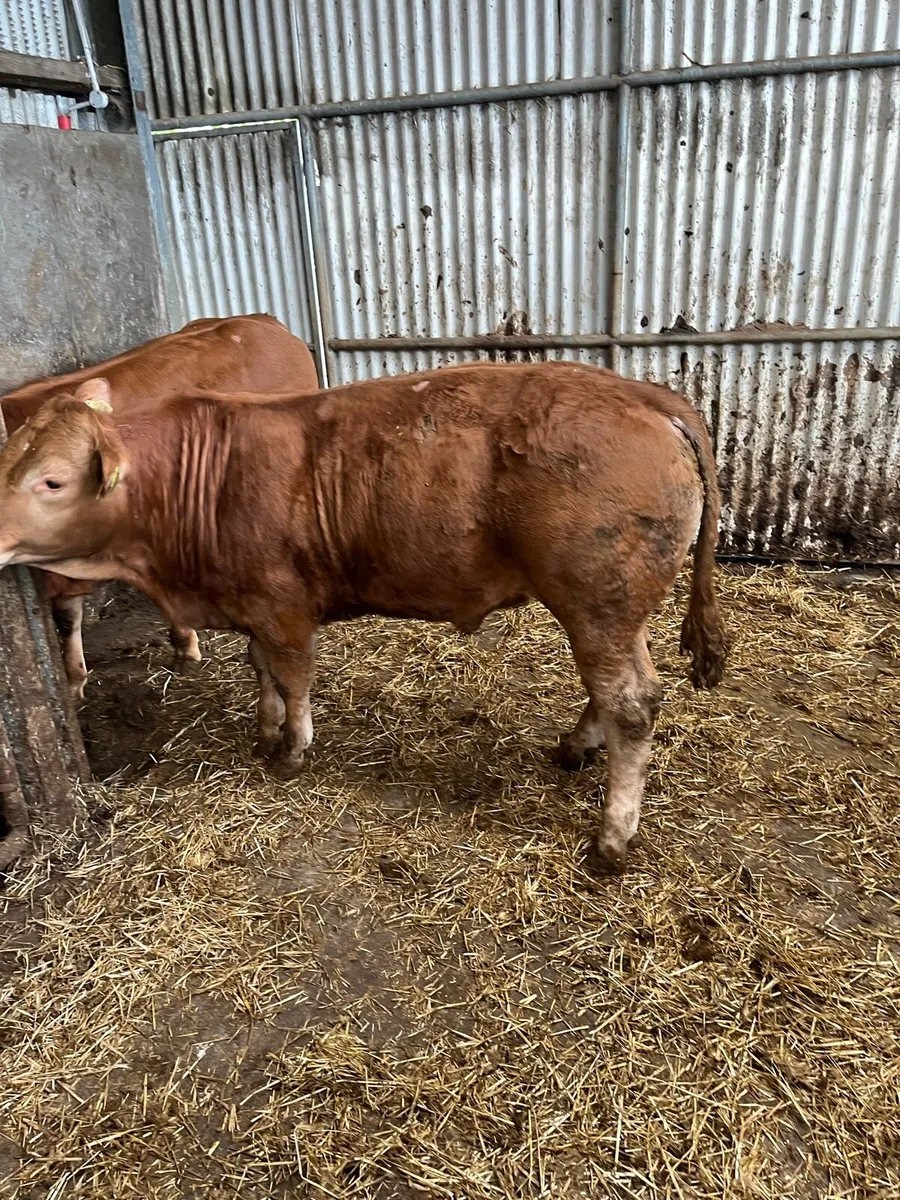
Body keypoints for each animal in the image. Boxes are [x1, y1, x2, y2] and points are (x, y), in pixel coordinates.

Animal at [0, 361, 727, 872]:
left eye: (53, 481)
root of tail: (643, 395)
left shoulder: (282, 603)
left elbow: (293, 676)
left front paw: (292, 749)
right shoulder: (248, 604)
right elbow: (260, 668)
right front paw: (264, 730)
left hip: (597, 599)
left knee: (631, 704)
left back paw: (612, 837)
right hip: (612, 610)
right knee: (615, 690)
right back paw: (577, 747)